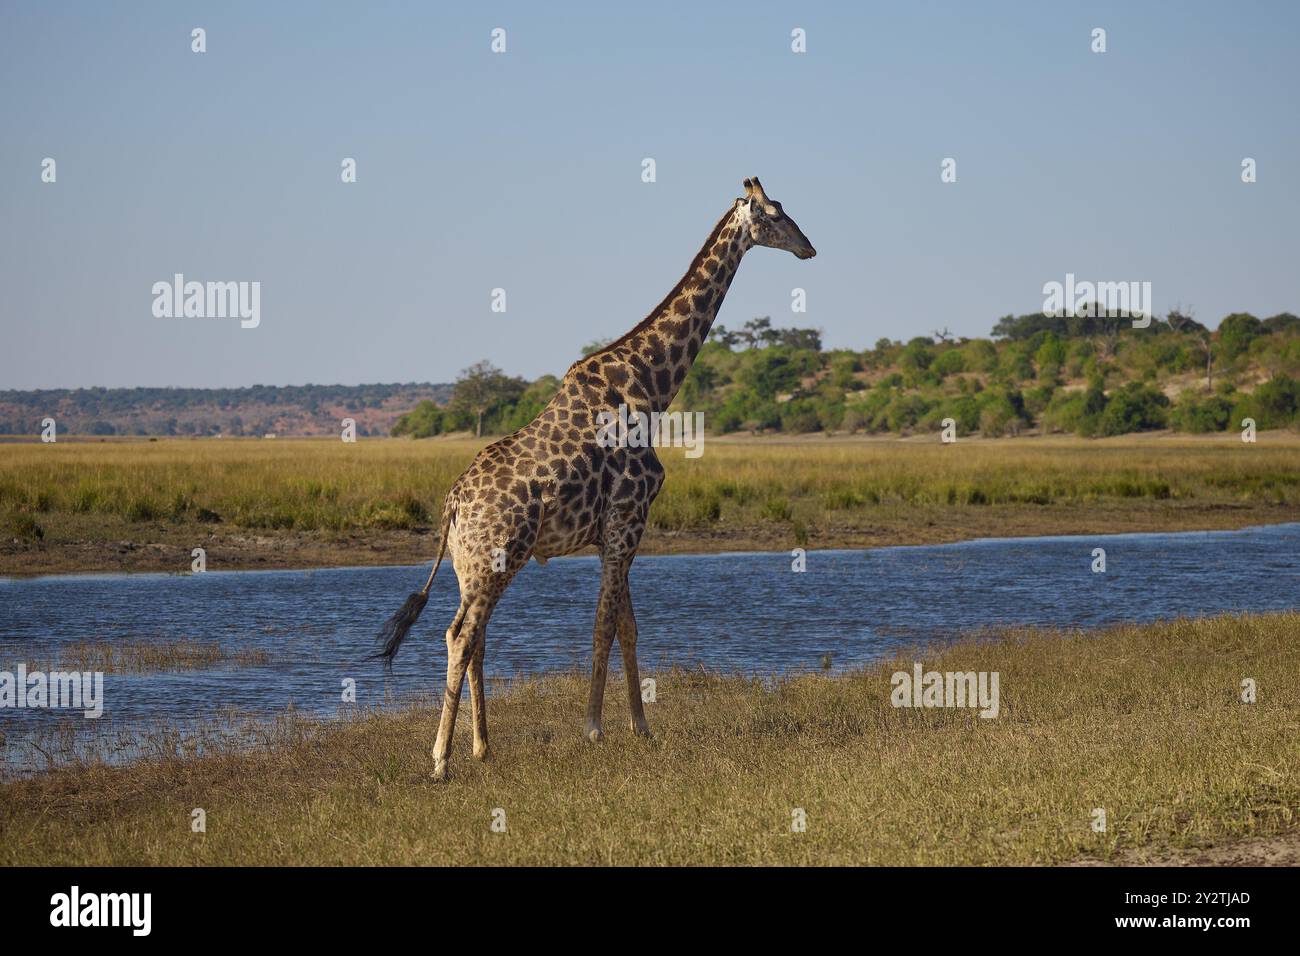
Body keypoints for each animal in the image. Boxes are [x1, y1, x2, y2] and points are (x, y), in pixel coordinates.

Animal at [374, 175, 811, 780]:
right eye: (773, 213)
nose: (808, 247)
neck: (653, 387)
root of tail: (453, 505)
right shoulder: (627, 521)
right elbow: (604, 625)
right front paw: (594, 729)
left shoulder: (617, 534)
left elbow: (628, 625)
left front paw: (642, 728)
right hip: (496, 555)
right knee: (461, 635)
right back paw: (440, 758)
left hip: (472, 564)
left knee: (471, 634)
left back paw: (482, 747)